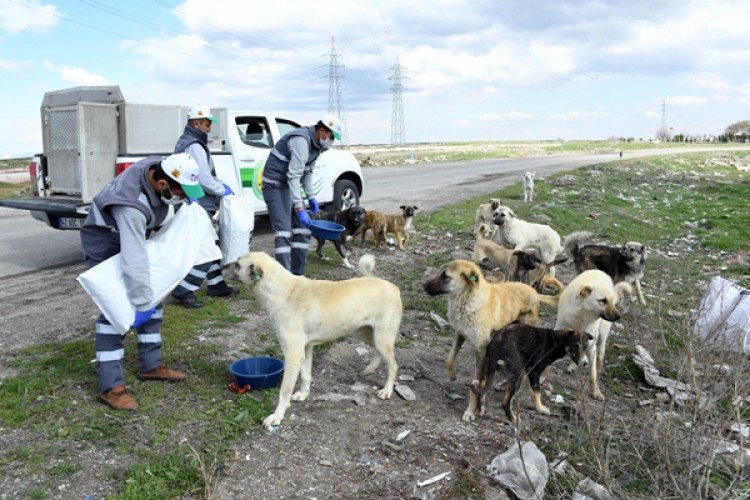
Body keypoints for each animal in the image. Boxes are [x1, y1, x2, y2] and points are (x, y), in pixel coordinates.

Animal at [225, 252, 406, 428]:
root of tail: (391, 286)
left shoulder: (293, 354)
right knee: (379, 353)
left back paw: (387, 390)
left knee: (393, 364)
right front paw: (303, 394)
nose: (220, 268)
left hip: (381, 338)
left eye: (237, 264)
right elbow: (306, 375)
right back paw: (370, 368)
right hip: (365, 334)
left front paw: (277, 416)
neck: (285, 293)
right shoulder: (305, 349)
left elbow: (285, 390)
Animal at [426, 258, 560, 422]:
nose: (424, 286)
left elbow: (476, 384)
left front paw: (471, 411)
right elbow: (449, 358)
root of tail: (534, 292)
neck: (468, 299)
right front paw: (452, 375)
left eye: (446, 276)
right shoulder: (460, 334)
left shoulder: (481, 350)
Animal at [556, 270, 632, 402]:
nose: (619, 316)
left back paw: (599, 369)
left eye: (611, 301)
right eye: (602, 300)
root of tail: (599, 271)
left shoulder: (591, 347)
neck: (581, 316)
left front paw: (595, 392)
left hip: (602, 336)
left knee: (601, 354)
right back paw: (573, 366)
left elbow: (593, 375)